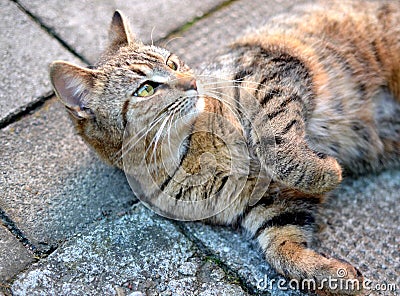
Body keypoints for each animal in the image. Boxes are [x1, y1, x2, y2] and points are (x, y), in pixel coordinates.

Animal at [49, 1, 400, 294]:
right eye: (146, 89)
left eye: (172, 63)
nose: (192, 82)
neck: (192, 153)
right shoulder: (271, 202)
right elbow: (282, 250)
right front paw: (330, 274)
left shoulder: (267, 74)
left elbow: (277, 147)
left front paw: (324, 170)